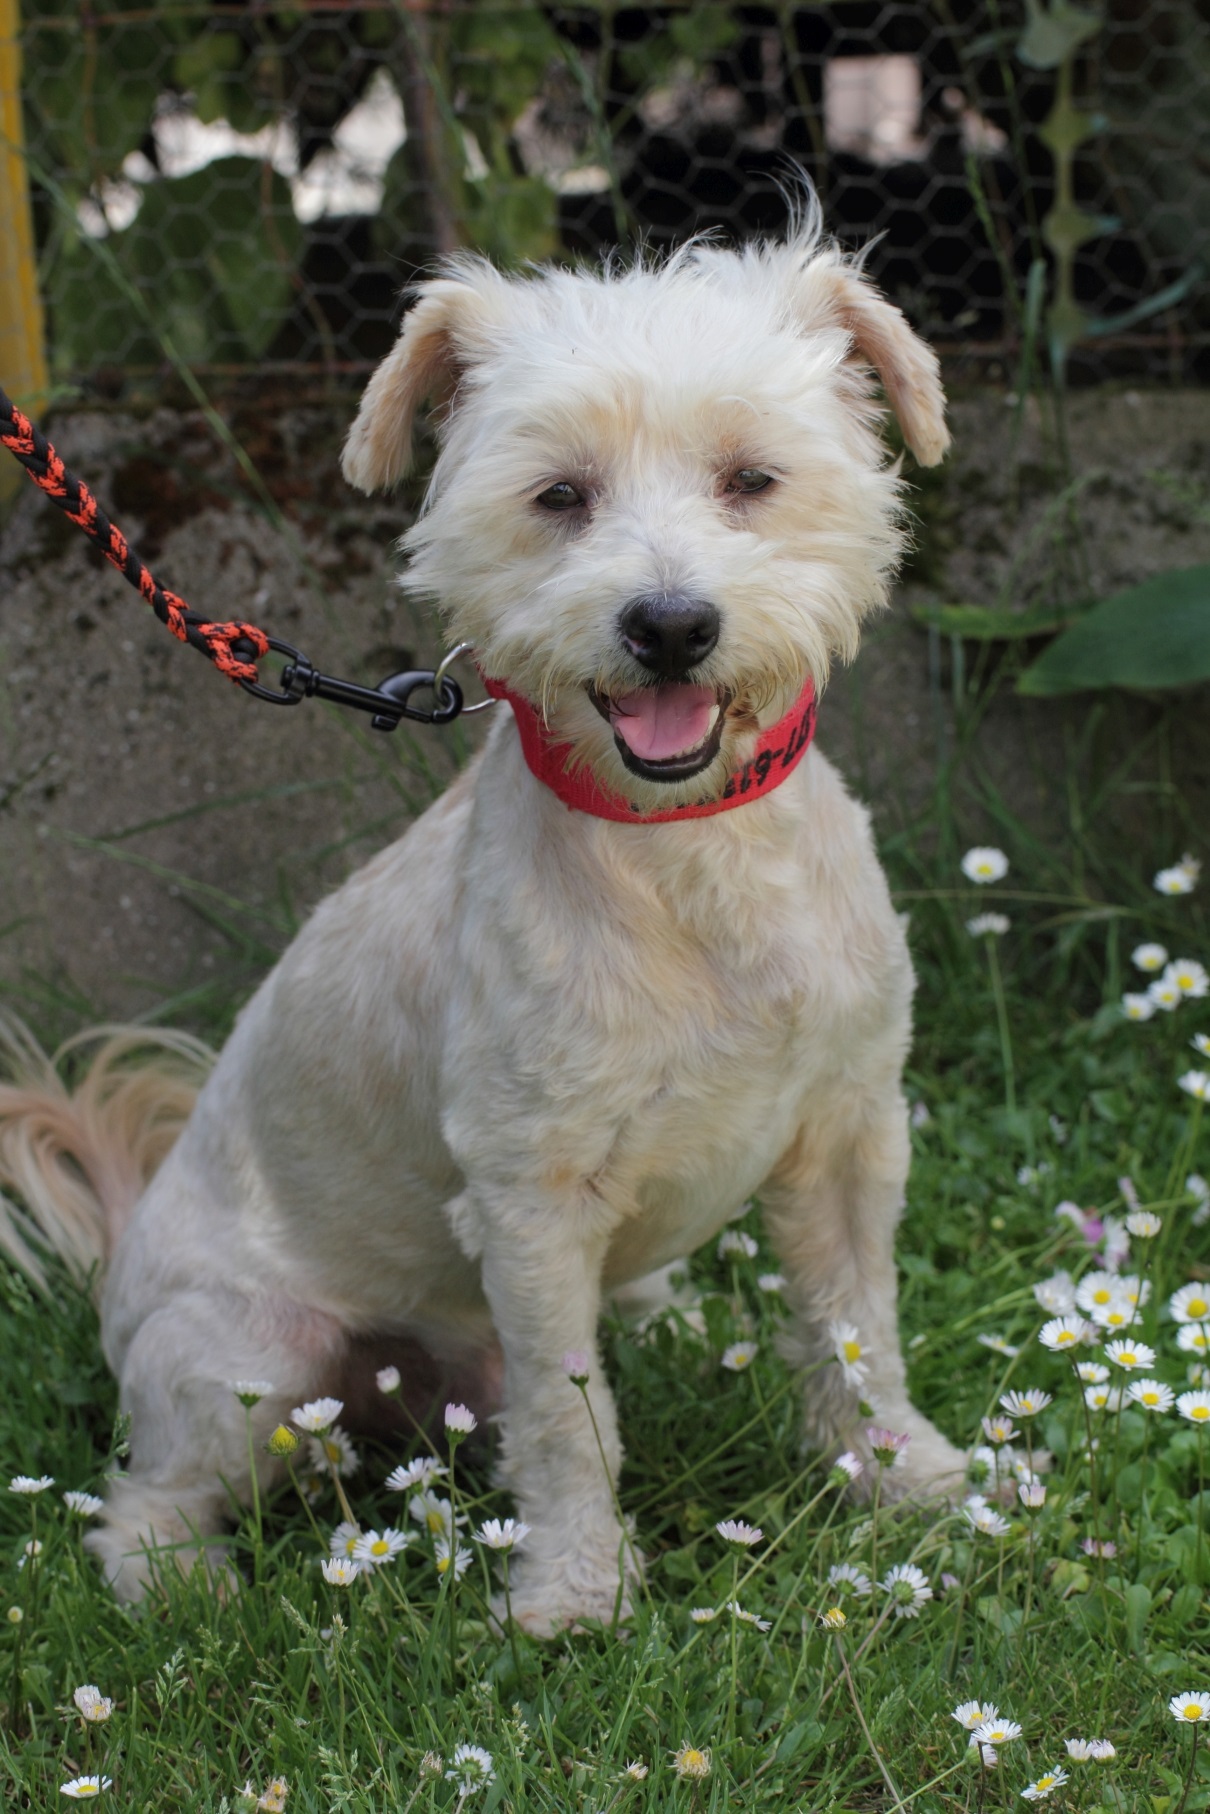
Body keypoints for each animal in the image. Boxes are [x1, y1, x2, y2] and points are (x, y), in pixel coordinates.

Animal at [0, 211, 965, 1629]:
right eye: (559, 496)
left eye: (751, 478)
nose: (669, 624)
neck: (684, 851)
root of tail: (123, 1253)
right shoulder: (530, 1201)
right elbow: (568, 1421)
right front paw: (575, 1591)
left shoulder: (848, 1132)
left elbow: (857, 1327)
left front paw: (904, 1474)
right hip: (250, 1361)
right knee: (144, 1496)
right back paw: (179, 1579)